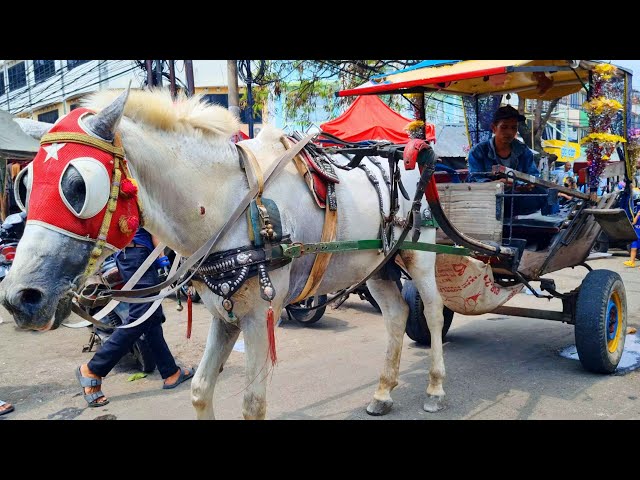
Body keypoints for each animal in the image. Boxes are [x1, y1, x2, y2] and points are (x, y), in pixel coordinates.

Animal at [0, 88, 448, 418]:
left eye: (78, 185)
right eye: (26, 184)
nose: (21, 298)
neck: (228, 204)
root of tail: (404, 153)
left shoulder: (261, 314)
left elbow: (253, 402)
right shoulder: (224, 311)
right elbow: (199, 390)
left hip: (419, 255)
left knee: (430, 311)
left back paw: (434, 388)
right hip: (379, 264)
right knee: (395, 314)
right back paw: (383, 393)